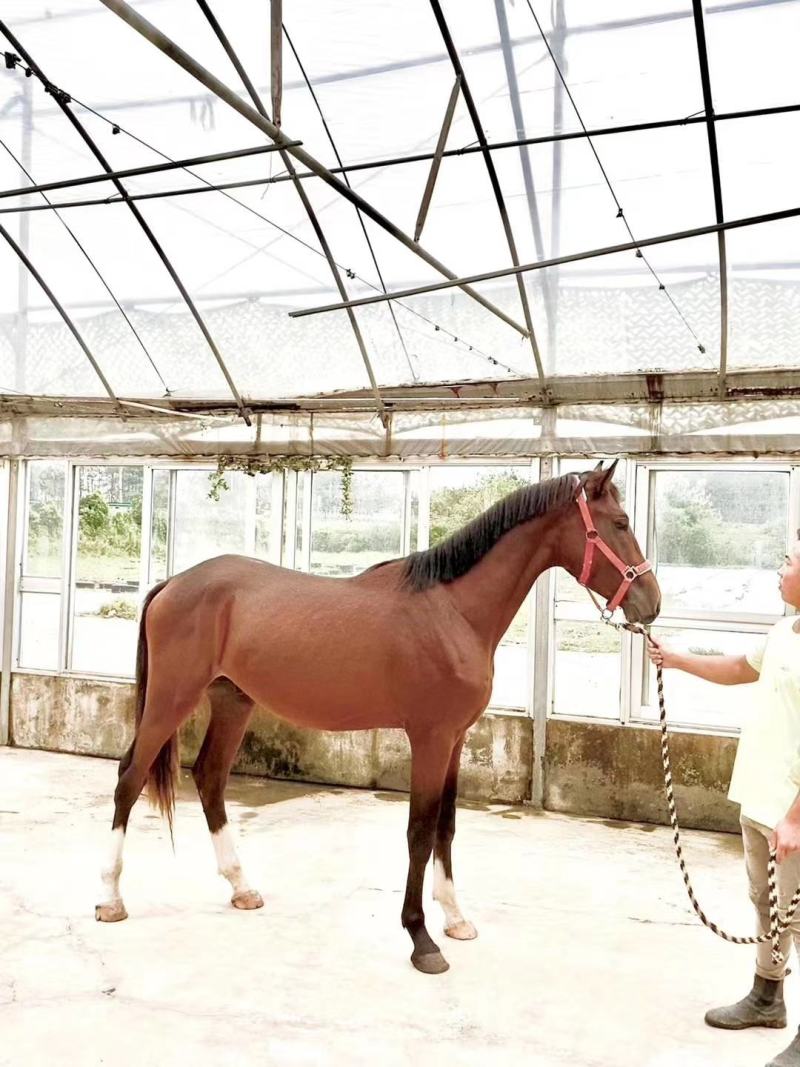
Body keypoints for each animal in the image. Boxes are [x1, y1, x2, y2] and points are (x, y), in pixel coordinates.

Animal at [95, 460, 660, 974]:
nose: (650, 603)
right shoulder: (430, 738)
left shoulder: (456, 739)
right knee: (129, 778)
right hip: (171, 699)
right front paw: (422, 940)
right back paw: (110, 899)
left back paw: (242, 887)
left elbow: (446, 826)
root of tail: (172, 583)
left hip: (233, 701)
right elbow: (420, 831)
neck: (453, 611)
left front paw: (456, 919)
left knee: (209, 778)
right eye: (620, 523)